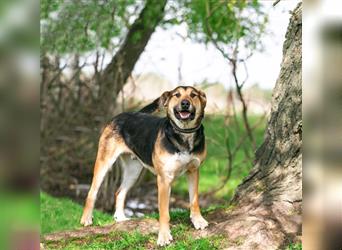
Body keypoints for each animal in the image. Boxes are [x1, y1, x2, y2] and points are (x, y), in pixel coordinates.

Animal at [80, 86, 208, 246]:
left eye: (193, 95)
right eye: (177, 95)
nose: (185, 103)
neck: (184, 134)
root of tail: (122, 115)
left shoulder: (193, 171)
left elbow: (194, 200)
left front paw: (198, 220)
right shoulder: (164, 179)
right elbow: (164, 212)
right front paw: (164, 236)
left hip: (133, 171)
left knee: (119, 192)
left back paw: (120, 218)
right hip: (104, 162)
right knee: (92, 192)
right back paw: (86, 219)